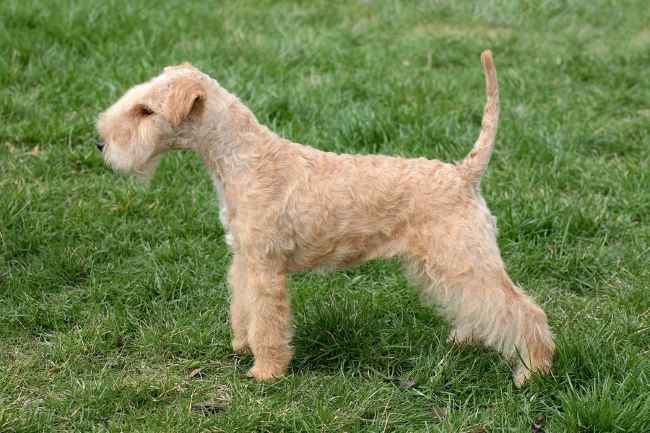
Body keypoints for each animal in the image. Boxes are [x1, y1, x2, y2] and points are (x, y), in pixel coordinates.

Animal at [96, 50, 552, 384]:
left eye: (145, 111)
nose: (101, 143)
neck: (243, 159)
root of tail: (464, 173)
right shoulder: (245, 259)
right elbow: (242, 307)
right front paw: (242, 345)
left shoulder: (266, 268)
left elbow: (268, 322)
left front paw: (266, 371)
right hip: (444, 263)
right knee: (478, 306)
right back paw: (468, 340)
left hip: (464, 256)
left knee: (524, 311)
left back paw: (532, 371)